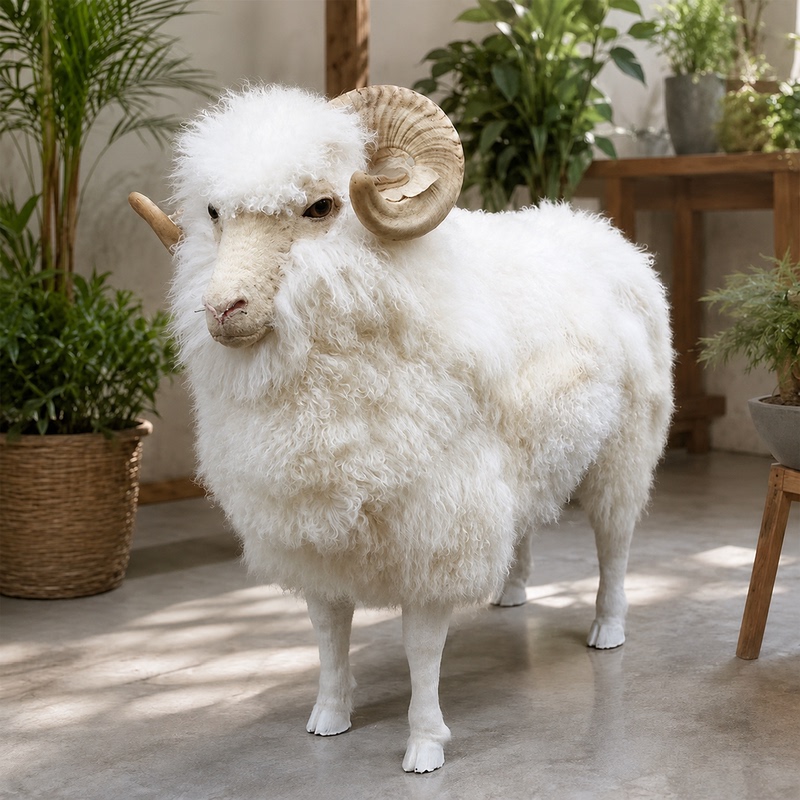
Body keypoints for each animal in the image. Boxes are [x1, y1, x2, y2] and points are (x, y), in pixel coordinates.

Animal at [130, 83, 673, 774]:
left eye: (320, 207)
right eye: (215, 212)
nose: (223, 310)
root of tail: (602, 232)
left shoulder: (437, 523)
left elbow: (422, 646)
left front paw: (424, 743)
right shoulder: (313, 527)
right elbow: (328, 629)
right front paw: (330, 715)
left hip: (622, 453)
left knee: (614, 543)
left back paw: (608, 628)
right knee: (524, 526)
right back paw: (512, 591)